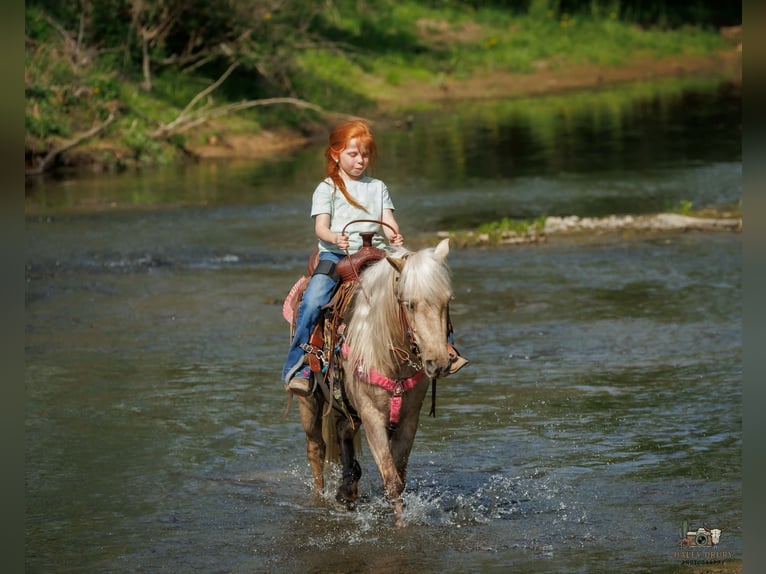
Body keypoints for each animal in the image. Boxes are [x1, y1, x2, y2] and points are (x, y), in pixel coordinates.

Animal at [294, 237, 454, 526]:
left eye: (447, 300)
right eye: (409, 303)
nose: (438, 362)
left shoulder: (409, 419)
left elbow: (399, 475)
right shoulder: (372, 417)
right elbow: (392, 480)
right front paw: (401, 526)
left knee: (343, 429)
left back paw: (347, 490)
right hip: (310, 402)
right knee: (316, 450)